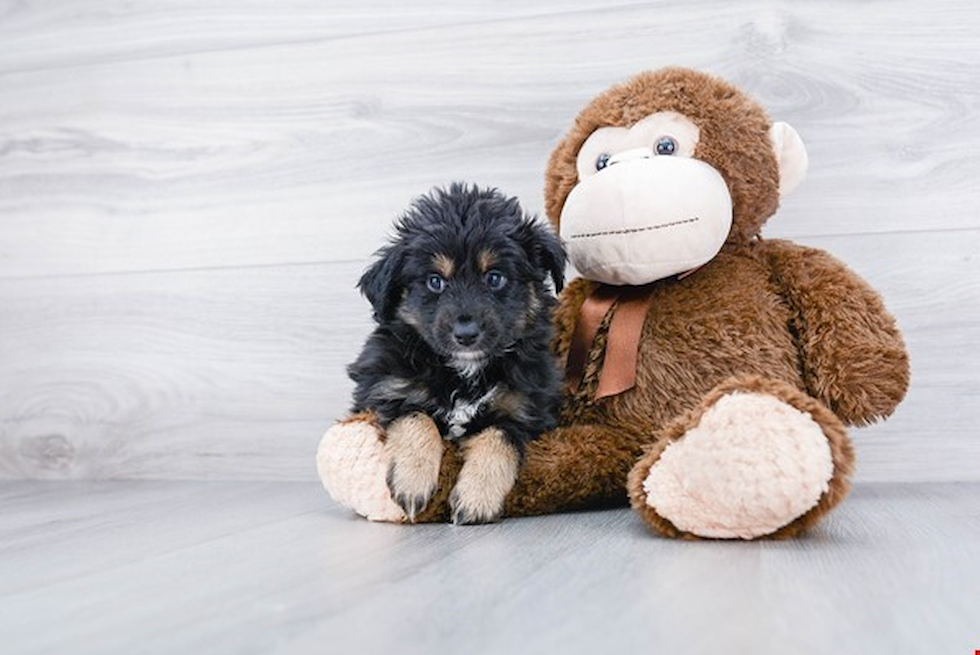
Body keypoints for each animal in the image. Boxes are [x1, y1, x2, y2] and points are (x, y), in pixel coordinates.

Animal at [350, 182, 568, 524]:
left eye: (495, 277)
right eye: (435, 281)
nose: (466, 334)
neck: (464, 371)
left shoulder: (523, 411)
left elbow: (497, 440)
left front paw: (476, 499)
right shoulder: (386, 390)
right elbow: (416, 419)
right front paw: (412, 484)